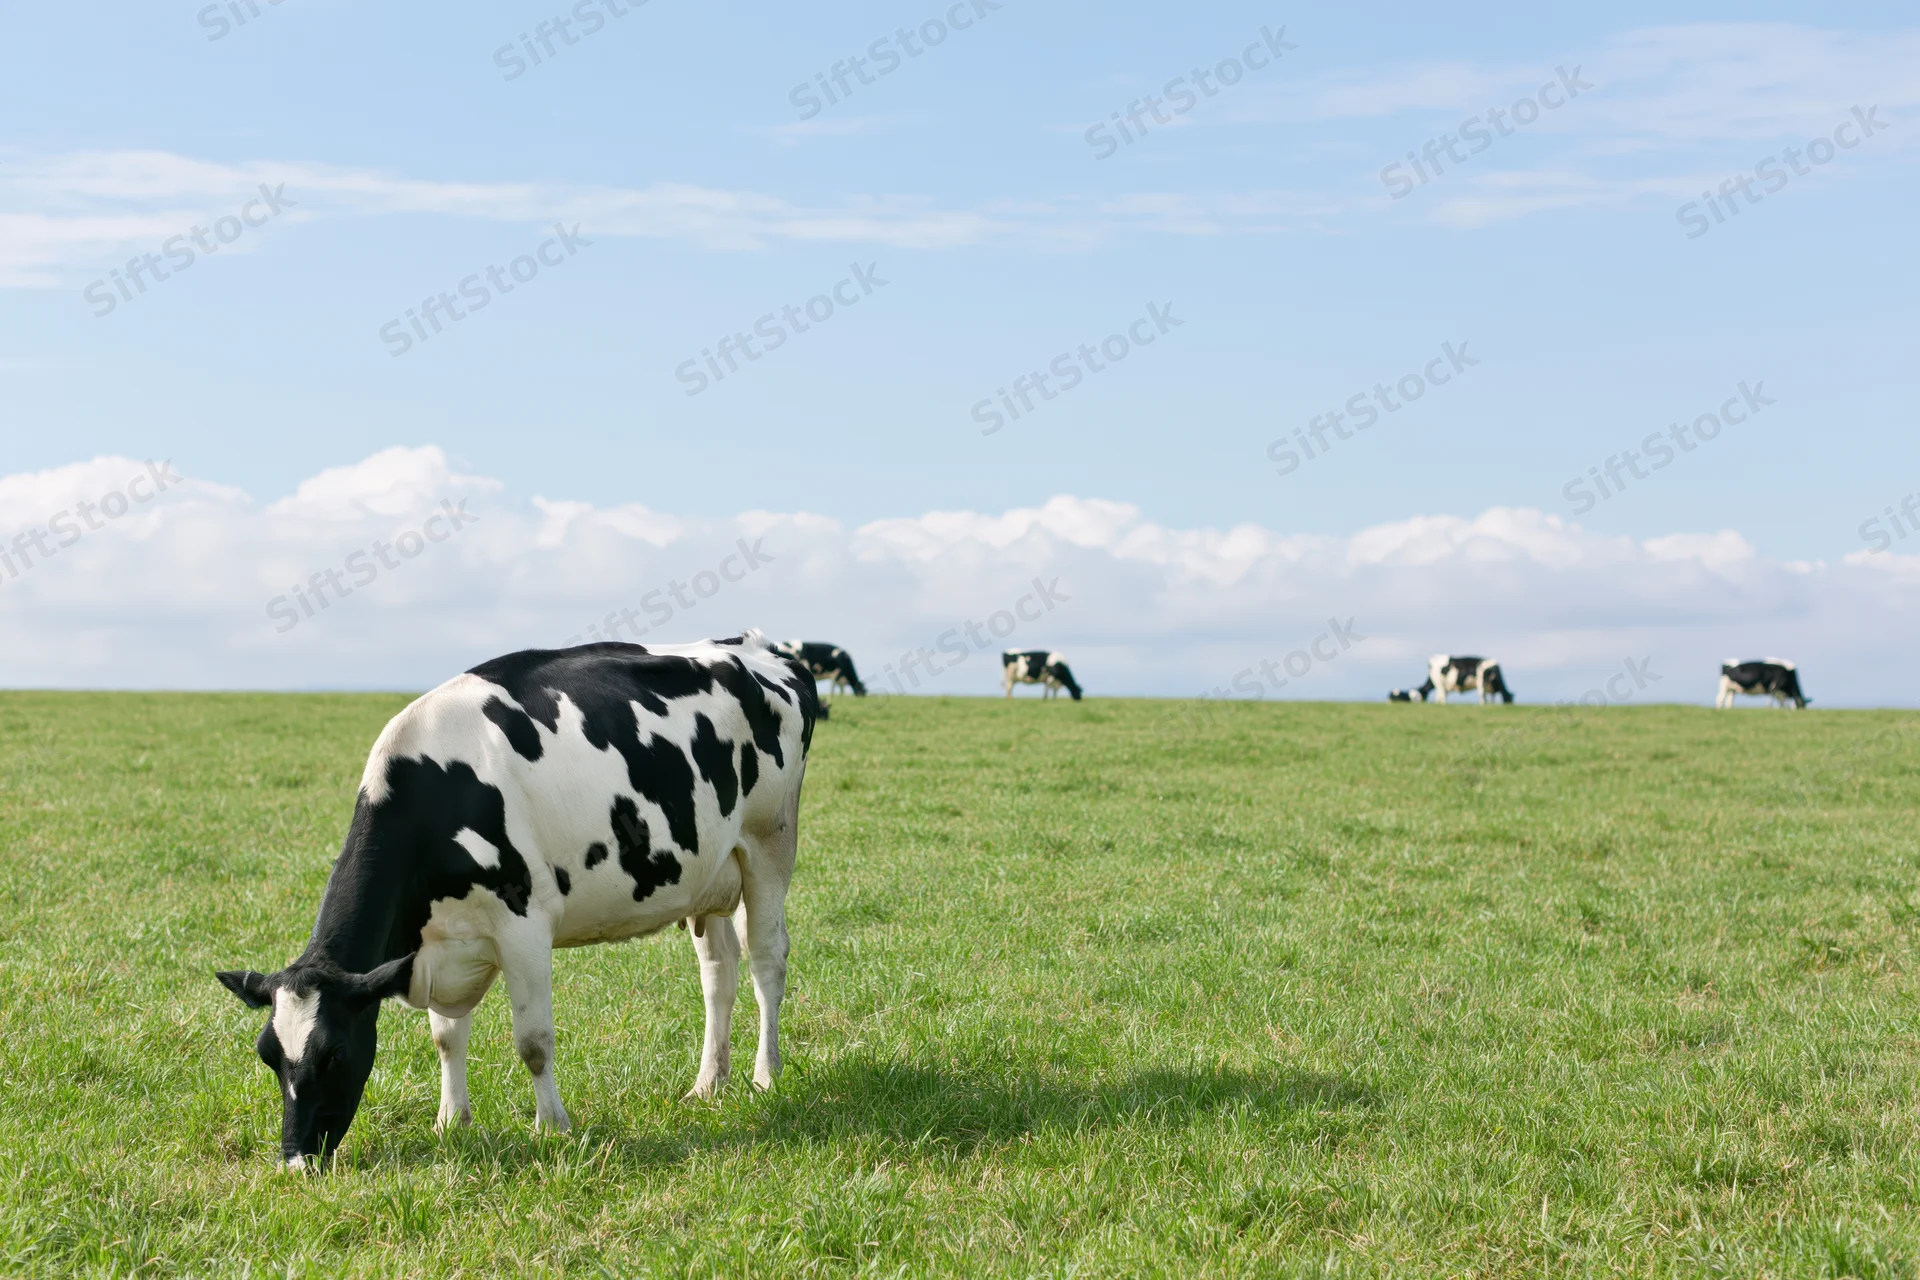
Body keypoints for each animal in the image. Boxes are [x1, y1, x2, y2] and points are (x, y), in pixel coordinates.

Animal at [215, 632, 818, 1169]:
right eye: (268, 1056)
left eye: (335, 1052)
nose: (296, 1161)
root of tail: (756, 645)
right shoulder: (438, 940)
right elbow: (446, 1038)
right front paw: (451, 1121)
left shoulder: (524, 927)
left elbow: (533, 1041)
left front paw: (553, 1127)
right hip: (709, 873)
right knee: (719, 972)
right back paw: (708, 1084)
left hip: (769, 845)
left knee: (766, 961)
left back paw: (766, 1076)